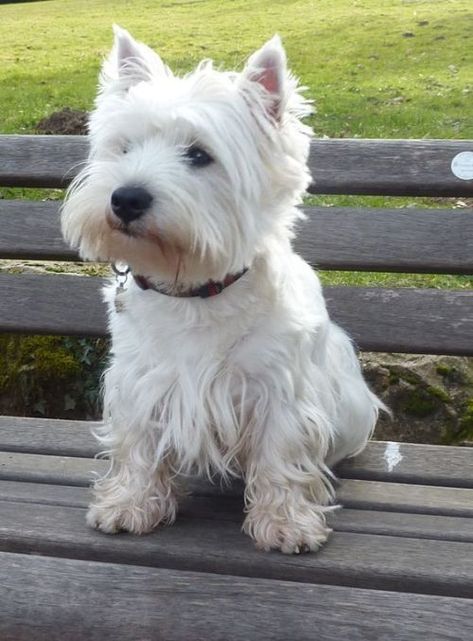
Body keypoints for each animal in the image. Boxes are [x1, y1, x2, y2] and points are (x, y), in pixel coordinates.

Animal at [60, 27, 382, 552]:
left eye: (199, 155)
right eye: (125, 147)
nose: (126, 198)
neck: (195, 290)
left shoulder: (279, 391)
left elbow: (281, 455)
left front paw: (286, 523)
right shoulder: (138, 380)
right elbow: (137, 444)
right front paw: (129, 505)